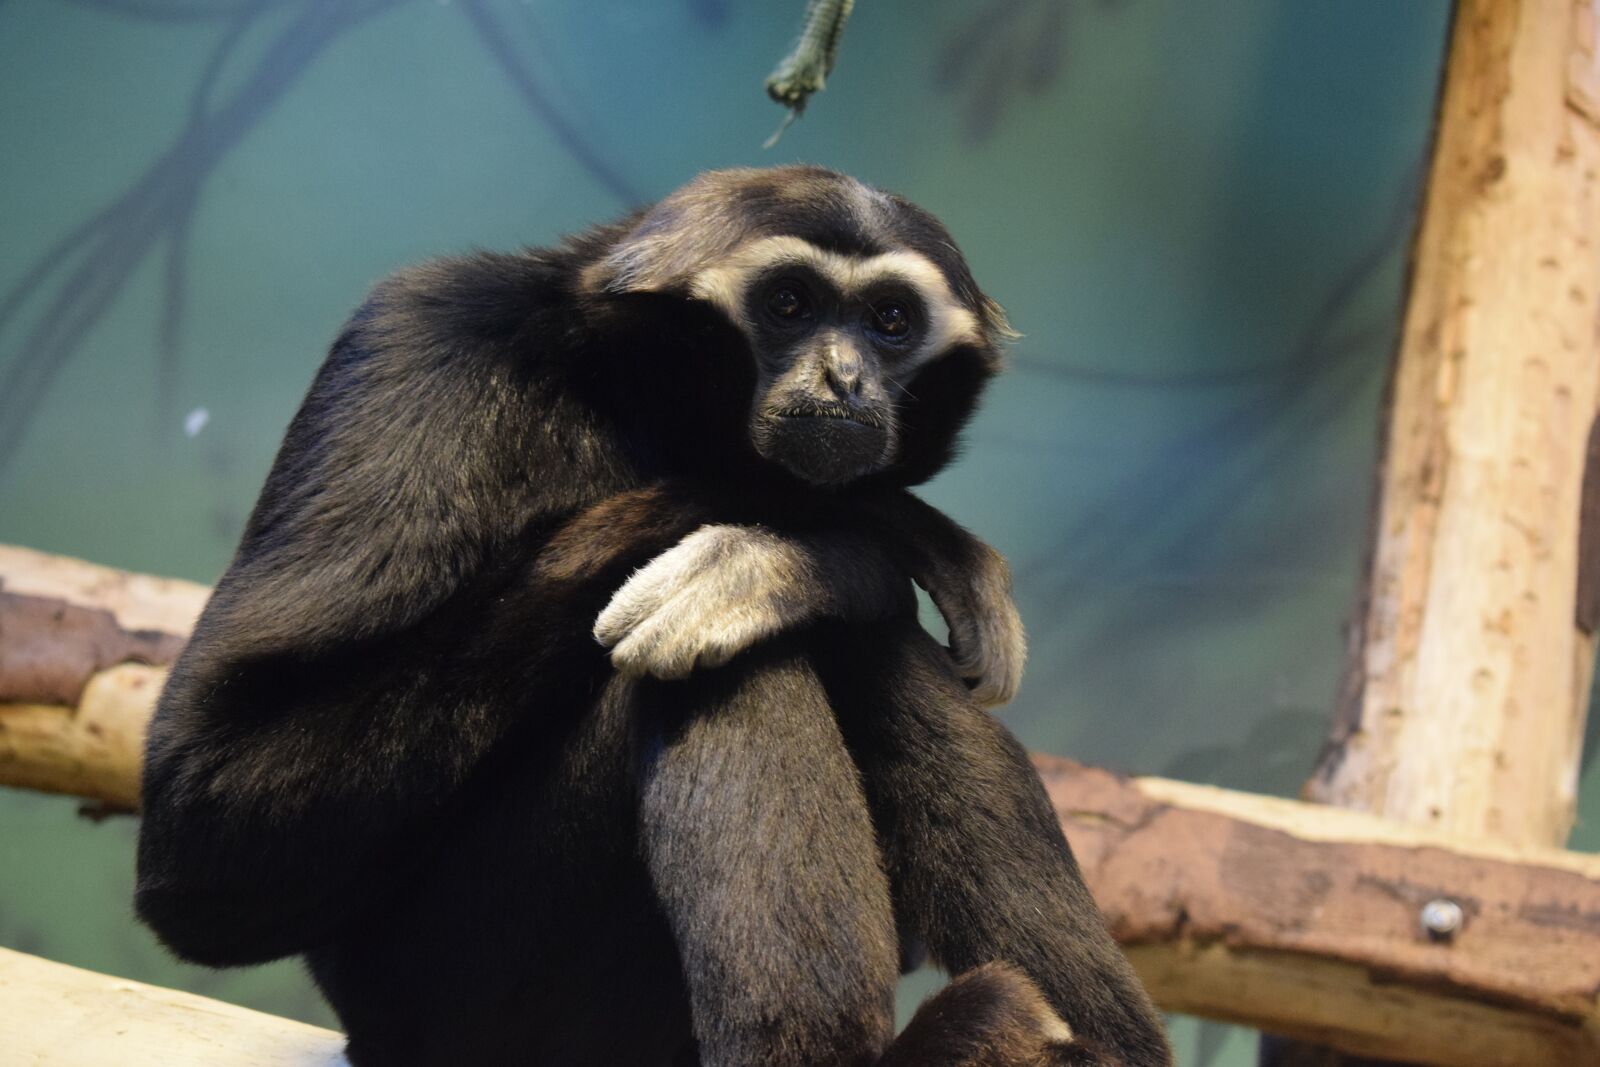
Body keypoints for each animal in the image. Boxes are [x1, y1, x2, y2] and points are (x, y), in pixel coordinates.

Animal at [134, 166, 1171, 1067]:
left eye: (888, 320)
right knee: (717, 655)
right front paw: (842, 537)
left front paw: (823, 542)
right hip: (470, 991)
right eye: (788, 304)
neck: (617, 381)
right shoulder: (417, 342)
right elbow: (210, 820)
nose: (845, 379)